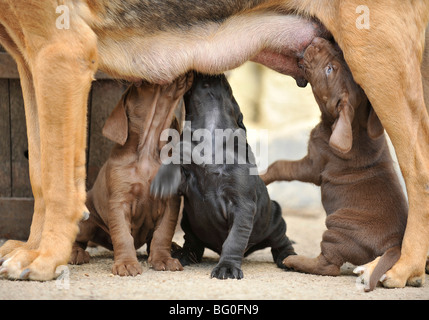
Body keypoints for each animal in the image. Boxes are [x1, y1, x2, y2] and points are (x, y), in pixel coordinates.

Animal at [69, 74, 192, 276]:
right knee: (78, 238)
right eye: (142, 83)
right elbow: (123, 236)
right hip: (87, 222)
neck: (148, 150)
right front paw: (126, 263)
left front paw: (163, 259)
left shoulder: (170, 202)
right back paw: (76, 253)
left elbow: (162, 234)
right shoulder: (120, 203)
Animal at [150, 72, 294, 278]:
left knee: (282, 242)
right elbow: (175, 158)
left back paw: (287, 258)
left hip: (275, 222)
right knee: (193, 243)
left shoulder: (242, 205)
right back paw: (184, 255)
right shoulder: (186, 175)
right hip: (188, 221)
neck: (211, 132)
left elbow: (234, 240)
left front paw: (227, 267)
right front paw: (163, 181)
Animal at [260, 38, 408, 292]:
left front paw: (261, 177)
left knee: (327, 266)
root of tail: (393, 244)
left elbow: (280, 165)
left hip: (337, 229)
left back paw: (294, 261)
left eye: (329, 70)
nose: (318, 40)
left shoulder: (312, 165)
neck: (356, 126)